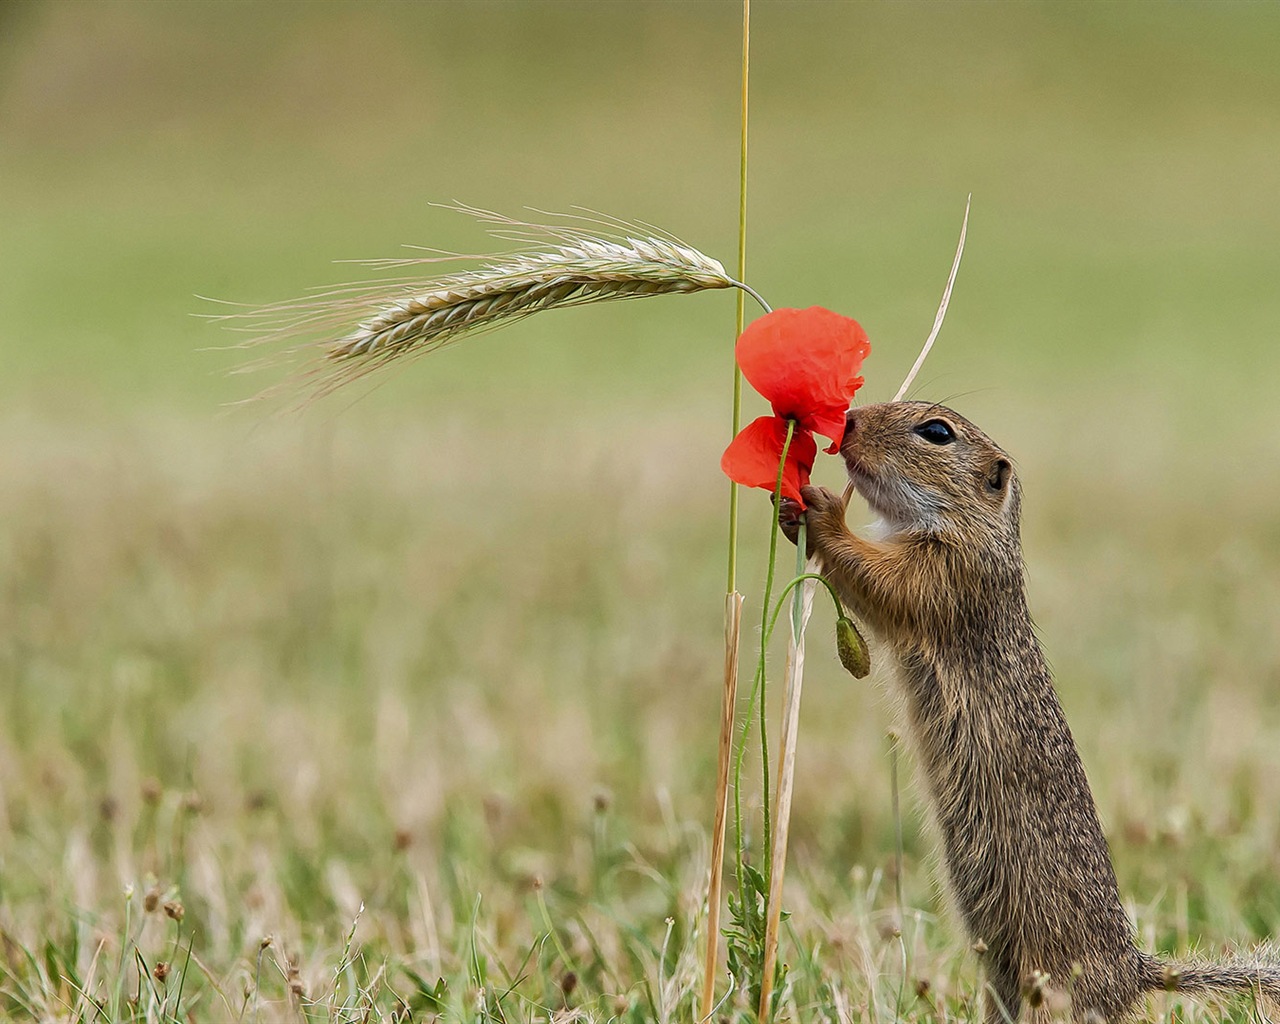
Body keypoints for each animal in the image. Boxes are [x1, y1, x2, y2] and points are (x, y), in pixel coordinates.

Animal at [778, 401, 1280, 1024]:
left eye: (937, 432)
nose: (846, 422)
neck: (974, 529)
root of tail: (1134, 975)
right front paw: (788, 511)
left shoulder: (948, 573)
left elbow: (879, 579)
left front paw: (821, 509)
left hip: (1051, 989)